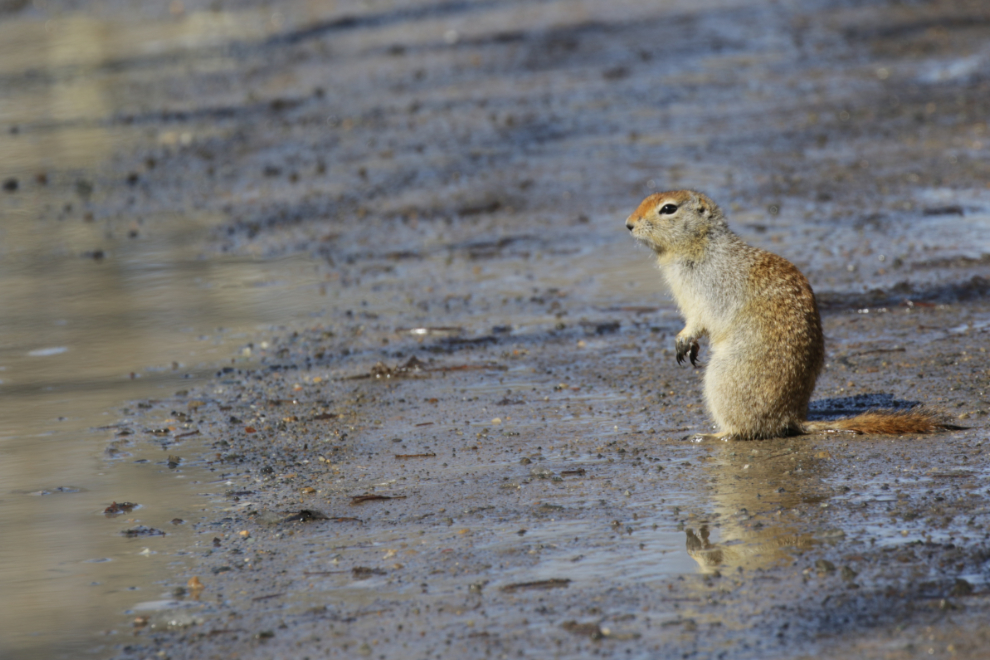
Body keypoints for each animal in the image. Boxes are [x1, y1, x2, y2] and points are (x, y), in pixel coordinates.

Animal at [625, 189, 945, 441]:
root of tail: (791, 417)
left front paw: (683, 339)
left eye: (668, 208)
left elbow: (701, 320)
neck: (701, 245)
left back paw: (709, 435)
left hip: (722, 376)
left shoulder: (710, 291)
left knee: (743, 430)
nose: (628, 225)